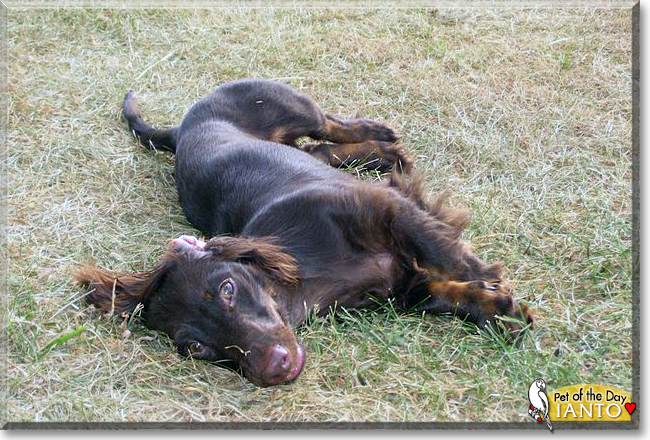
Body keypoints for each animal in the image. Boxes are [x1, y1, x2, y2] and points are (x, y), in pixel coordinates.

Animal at [77, 81, 532, 386]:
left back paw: (380, 136)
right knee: (322, 148)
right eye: (195, 347)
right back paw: (380, 153)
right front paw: (497, 309)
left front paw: (491, 284)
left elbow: (450, 256)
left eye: (227, 289)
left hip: (292, 106)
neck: (308, 278)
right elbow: (446, 295)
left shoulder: (388, 209)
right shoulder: (398, 289)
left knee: (329, 125)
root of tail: (180, 129)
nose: (274, 369)